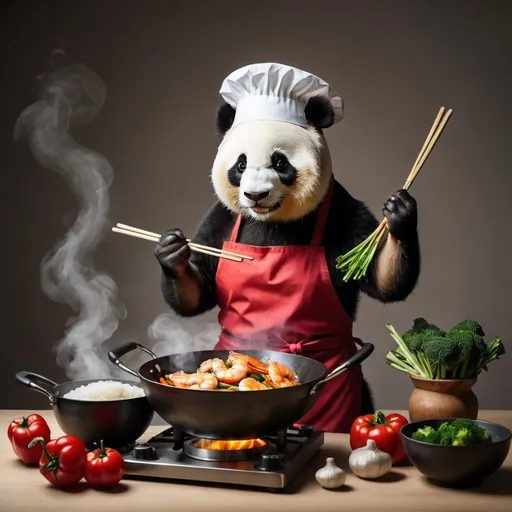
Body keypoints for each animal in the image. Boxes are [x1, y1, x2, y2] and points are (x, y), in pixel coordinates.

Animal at [155, 62, 420, 434]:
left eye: (280, 163)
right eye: (240, 165)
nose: (255, 195)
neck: (272, 221)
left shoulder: (346, 213)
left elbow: (382, 283)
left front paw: (399, 214)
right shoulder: (219, 220)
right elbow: (201, 289)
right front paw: (172, 253)